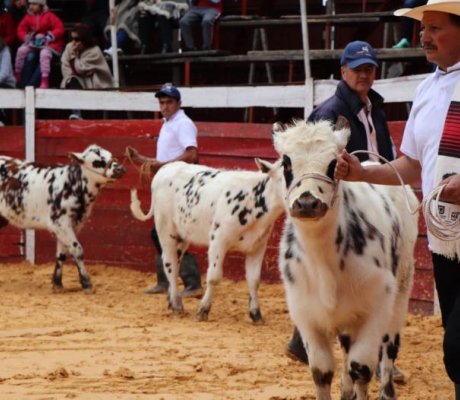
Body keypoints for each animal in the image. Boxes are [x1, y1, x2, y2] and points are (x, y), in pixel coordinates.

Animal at [0, 145, 126, 292]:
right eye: (97, 162)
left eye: (110, 155)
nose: (120, 169)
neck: (73, 184)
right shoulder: (60, 223)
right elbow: (77, 250)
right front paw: (86, 283)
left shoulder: (73, 224)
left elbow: (62, 253)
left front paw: (57, 283)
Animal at [129, 159, 284, 322]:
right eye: (283, 178)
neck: (252, 199)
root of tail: (166, 168)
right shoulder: (218, 240)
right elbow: (214, 277)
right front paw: (203, 310)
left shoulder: (258, 245)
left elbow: (254, 280)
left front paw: (256, 314)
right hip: (166, 230)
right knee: (170, 263)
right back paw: (177, 305)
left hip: (183, 236)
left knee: (176, 262)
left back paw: (172, 300)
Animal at [274, 120, 420, 400]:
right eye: (286, 163)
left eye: (334, 163)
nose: (307, 202)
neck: (324, 262)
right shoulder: (307, 315)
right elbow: (321, 372)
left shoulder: (375, 308)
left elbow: (361, 368)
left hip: (401, 292)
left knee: (388, 350)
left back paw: (387, 390)